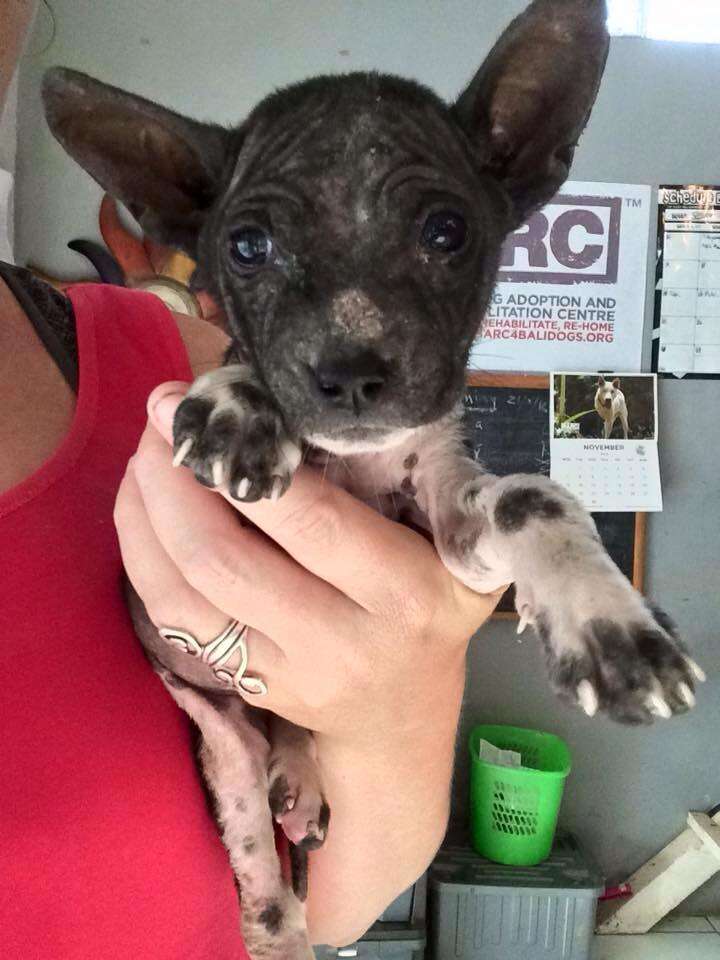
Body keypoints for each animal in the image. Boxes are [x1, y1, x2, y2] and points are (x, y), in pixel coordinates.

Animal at [40, 3, 704, 956]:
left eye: (447, 232)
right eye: (247, 246)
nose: (351, 375)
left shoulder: (449, 531)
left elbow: (532, 497)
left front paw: (610, 628)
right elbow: (236, 376)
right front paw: (240, 400)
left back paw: (304, 776)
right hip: (211, 728)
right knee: (255, 832)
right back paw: (277, 885)